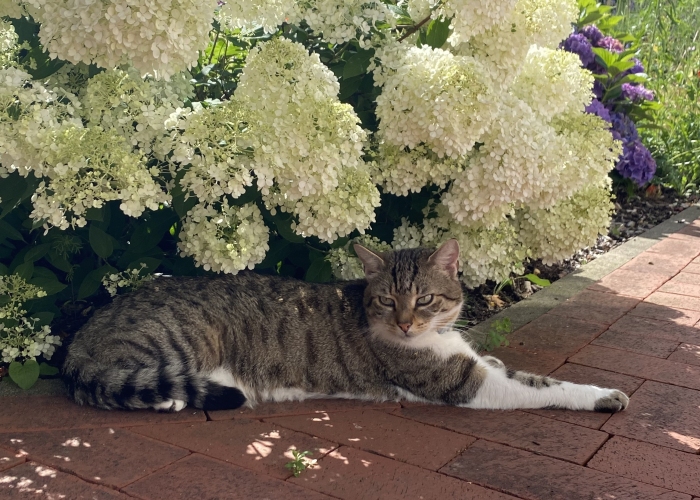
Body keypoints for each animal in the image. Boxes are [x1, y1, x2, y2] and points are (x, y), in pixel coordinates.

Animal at [61, 240, 628, 412]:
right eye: (387, 300)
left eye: (424, 298)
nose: (405, 325)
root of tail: (77, 343)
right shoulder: (465, 383)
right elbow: (543, 386)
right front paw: (602, 395)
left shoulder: (472, 360)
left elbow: (513, 367)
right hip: (182, 338)